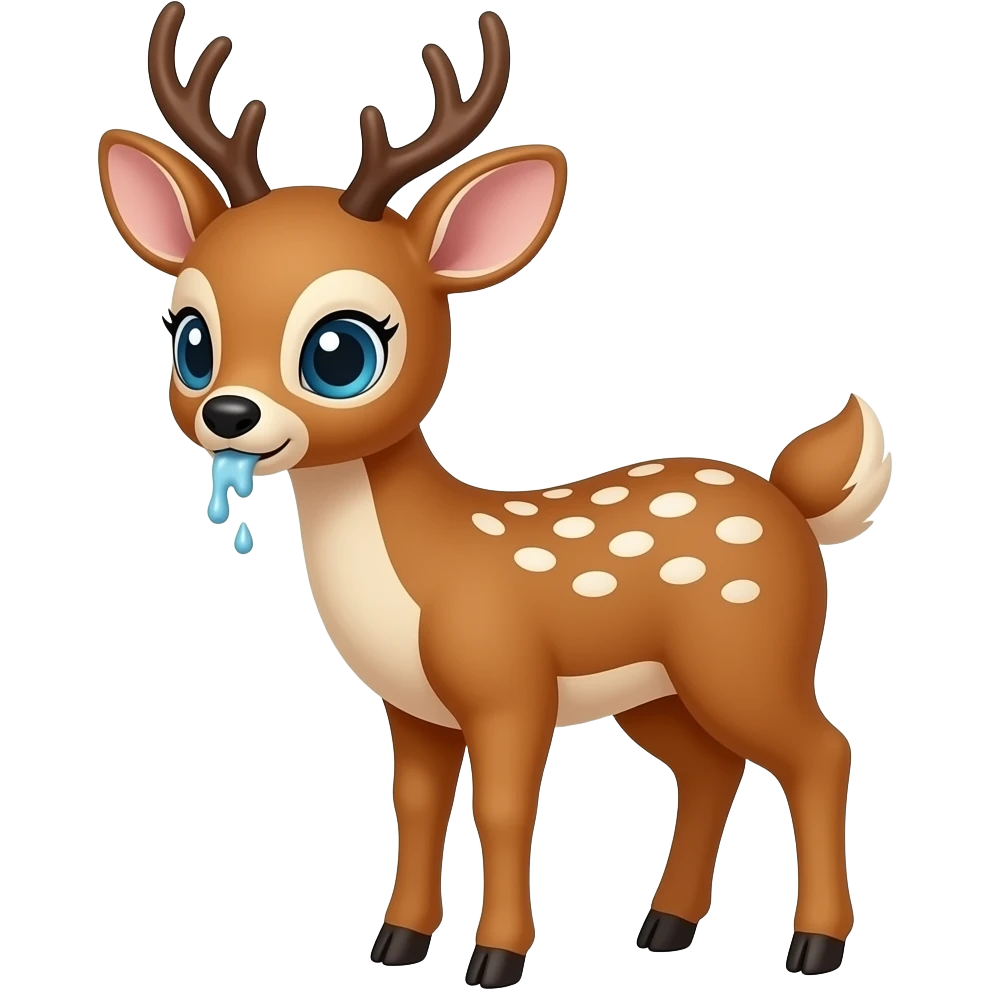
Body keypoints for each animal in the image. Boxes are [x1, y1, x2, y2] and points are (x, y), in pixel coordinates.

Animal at [97, 3, 893, 986]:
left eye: (340, 351)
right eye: (190, 339)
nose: (229, 414)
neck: (425, 564)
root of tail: (791, 504)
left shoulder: (510, 683)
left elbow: (504, 808)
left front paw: (497, 957)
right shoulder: (412, 706)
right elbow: (414, 805)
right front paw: (397, 942)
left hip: (748, 650)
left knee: (822, 752)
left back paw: (814, 944)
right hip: (657, 689)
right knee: (710, 768)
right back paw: (664, 927)